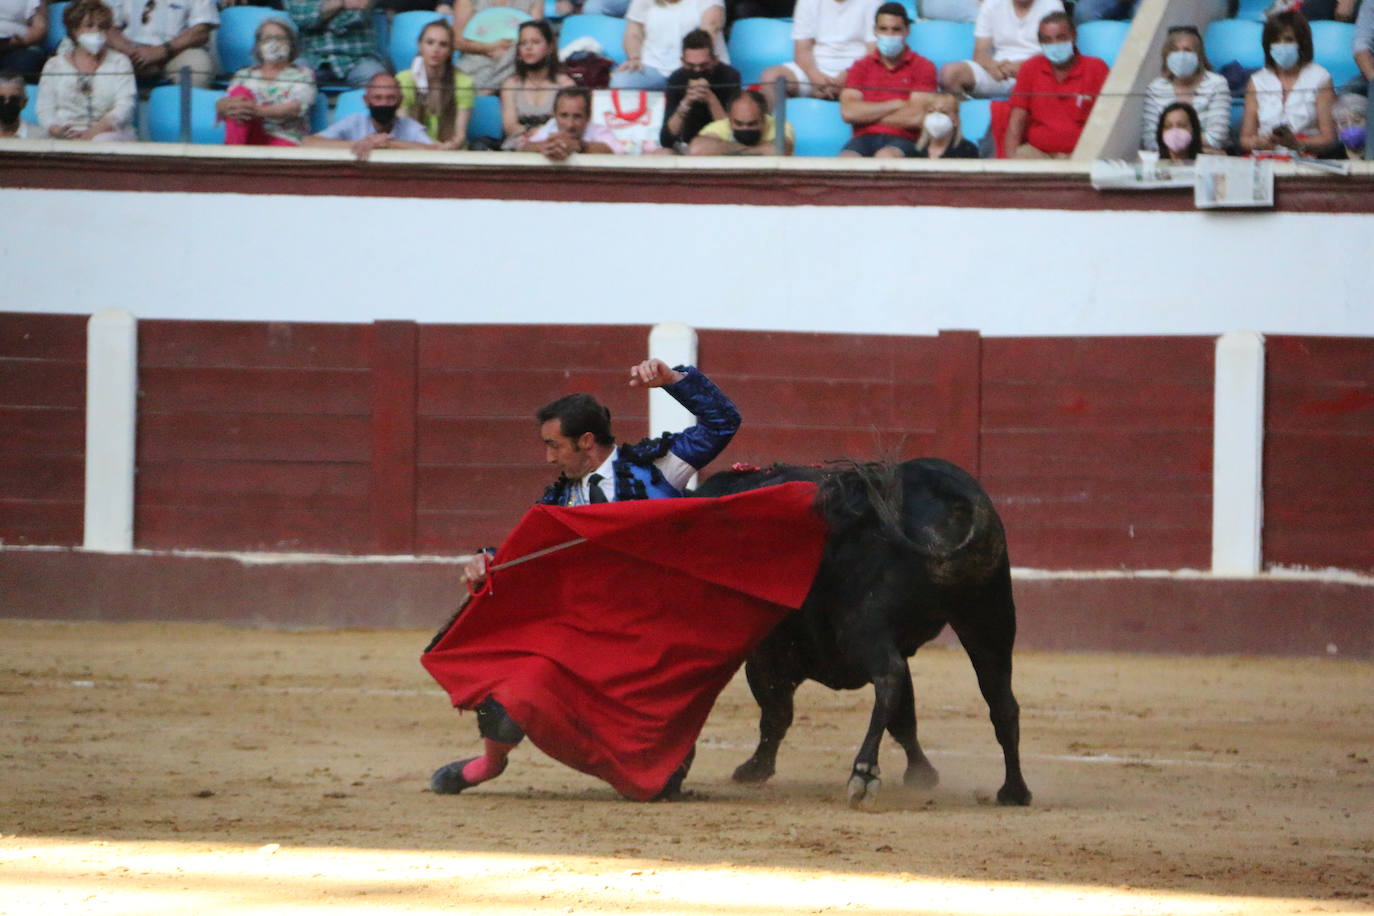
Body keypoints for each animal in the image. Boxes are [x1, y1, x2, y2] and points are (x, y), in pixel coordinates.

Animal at [697, 461, 1033, 807]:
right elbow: (904, 719)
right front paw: (922, 774)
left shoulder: (766, 651)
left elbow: (775, 710)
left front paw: (755, 768)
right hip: (988, 617)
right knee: (1001, 698)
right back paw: (1014, 790)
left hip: (864, 627)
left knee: (889, 677)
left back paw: (864, 772)